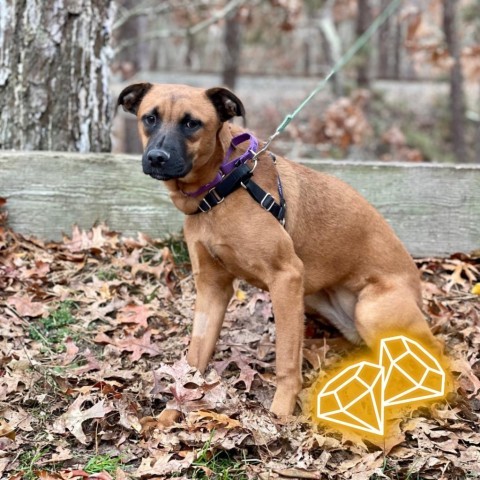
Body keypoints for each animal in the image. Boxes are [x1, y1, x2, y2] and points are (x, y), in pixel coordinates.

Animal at [117, 84, 438, 418]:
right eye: (149, 118)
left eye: (192, 123)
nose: (157, 158)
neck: (224, 186)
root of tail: (418, 292)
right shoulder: (212, 287)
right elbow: (196, 355)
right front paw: (176, 408)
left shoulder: (286, 278)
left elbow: (286, 359)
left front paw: (280, 415)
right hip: (315, 301)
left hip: (370, 310)